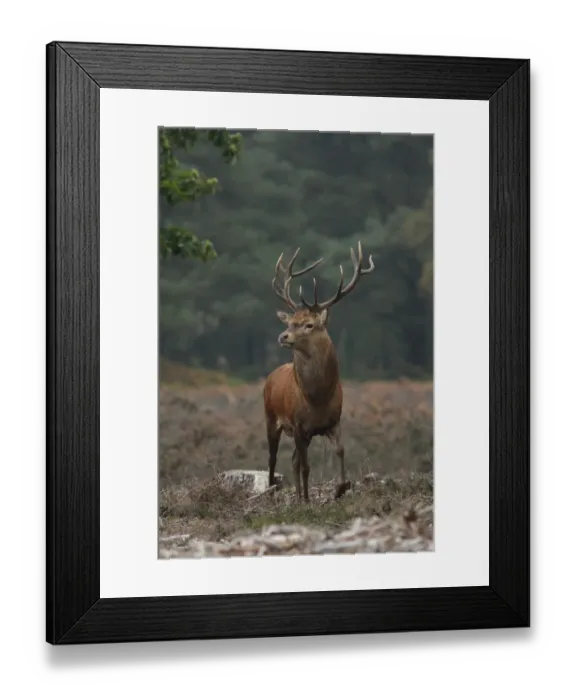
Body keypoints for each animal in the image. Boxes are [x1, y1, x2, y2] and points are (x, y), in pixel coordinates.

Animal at [263, 241, 375, 503]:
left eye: (309, 324)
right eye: (290, 322)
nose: (283, 336)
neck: (318, 398)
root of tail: (270, 377)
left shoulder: (332, 422)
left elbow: (340, 451)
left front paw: (340, 488)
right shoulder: (298, 424)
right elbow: (306, 467)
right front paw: (307, 500)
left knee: (293, 460)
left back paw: (296, 495)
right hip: (271, 417)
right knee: (273, 458)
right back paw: (275, 492)